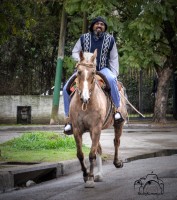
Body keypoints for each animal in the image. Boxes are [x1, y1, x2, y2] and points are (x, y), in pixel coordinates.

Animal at [69, 48, 127, 188]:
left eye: (93, 72)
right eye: (79, 72)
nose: (84, 97)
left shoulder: (95, 128)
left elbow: (91, 154)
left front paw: (90, 178)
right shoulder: (77, 130)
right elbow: (80, 154)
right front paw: (85, 175)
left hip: (117, 125)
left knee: (116, 142)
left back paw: (117, 162)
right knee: (99, 149)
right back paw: (99, 174)